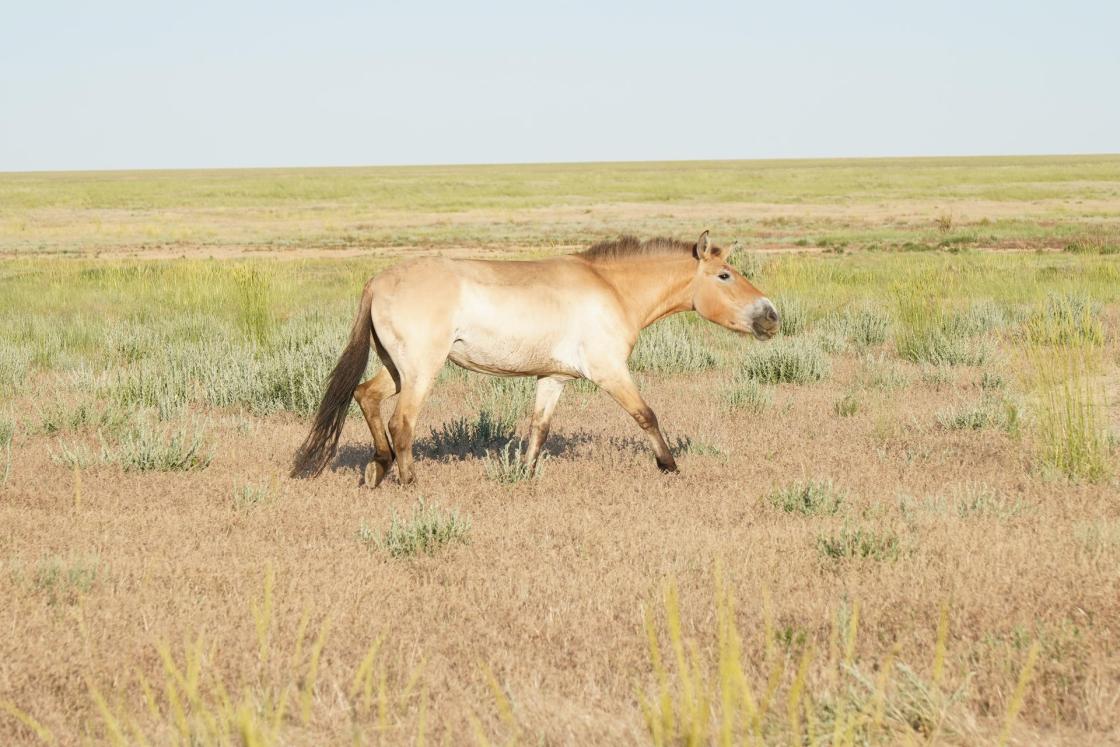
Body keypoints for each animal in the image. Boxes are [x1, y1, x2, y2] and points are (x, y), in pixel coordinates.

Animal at [291, 231, 780, 486]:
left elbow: (538, 428)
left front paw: (524, 475)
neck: (612, 290)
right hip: (421, 371)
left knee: (366, 397)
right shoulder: (609, 372)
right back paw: (409, 480)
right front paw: (670, 465)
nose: (771, 316)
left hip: (396, 368)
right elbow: (647, 415)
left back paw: (379, 467)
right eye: (725, 275)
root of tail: (378, 280)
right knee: (401, 421)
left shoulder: (553, 378)